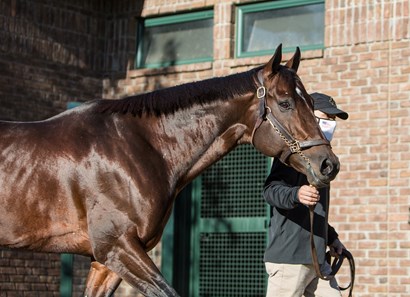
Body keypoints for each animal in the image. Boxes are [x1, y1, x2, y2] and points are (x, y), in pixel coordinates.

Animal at [0, 44, 340, 296]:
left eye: (312, 103)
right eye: (285, 103)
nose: (329, 164)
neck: (138, 147)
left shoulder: (105, 262)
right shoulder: (117, 247)